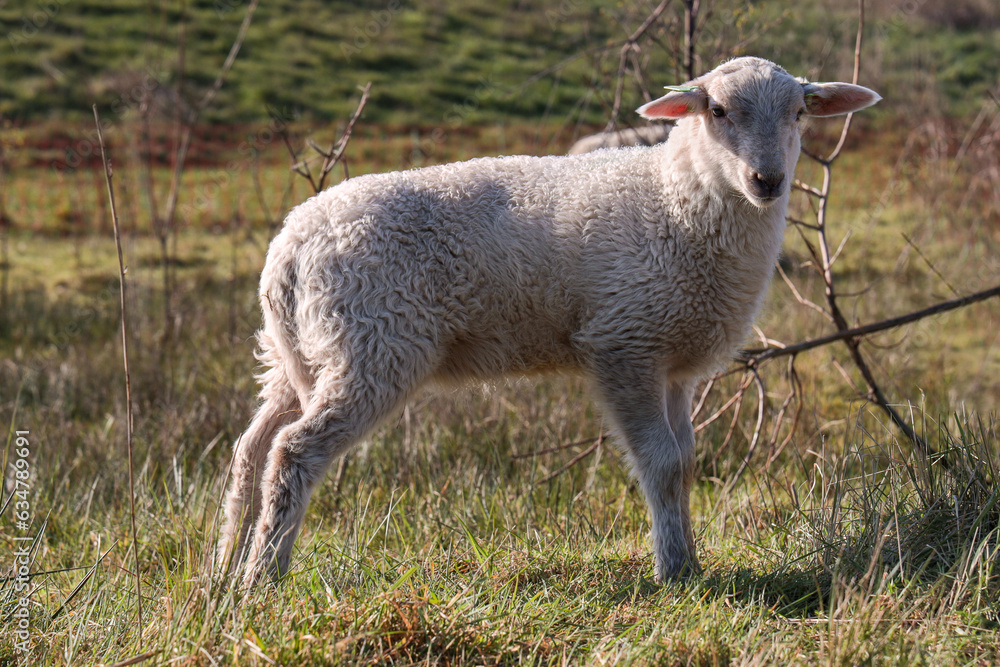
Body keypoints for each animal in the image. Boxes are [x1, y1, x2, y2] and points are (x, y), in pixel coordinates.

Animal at [218, 56, 880, 587]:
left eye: (799, 112)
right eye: (716, 110)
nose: (768, 180)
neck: (678, 199)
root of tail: (288, 248)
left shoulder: (673, 362)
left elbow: (686, 462)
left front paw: (689, 558)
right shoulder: (624, 342)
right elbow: (663, 464)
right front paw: (675, 572)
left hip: (302, 354)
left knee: (252, 448)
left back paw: (226, 566)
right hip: (373, 344)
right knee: (293, 450)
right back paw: (264, 576)